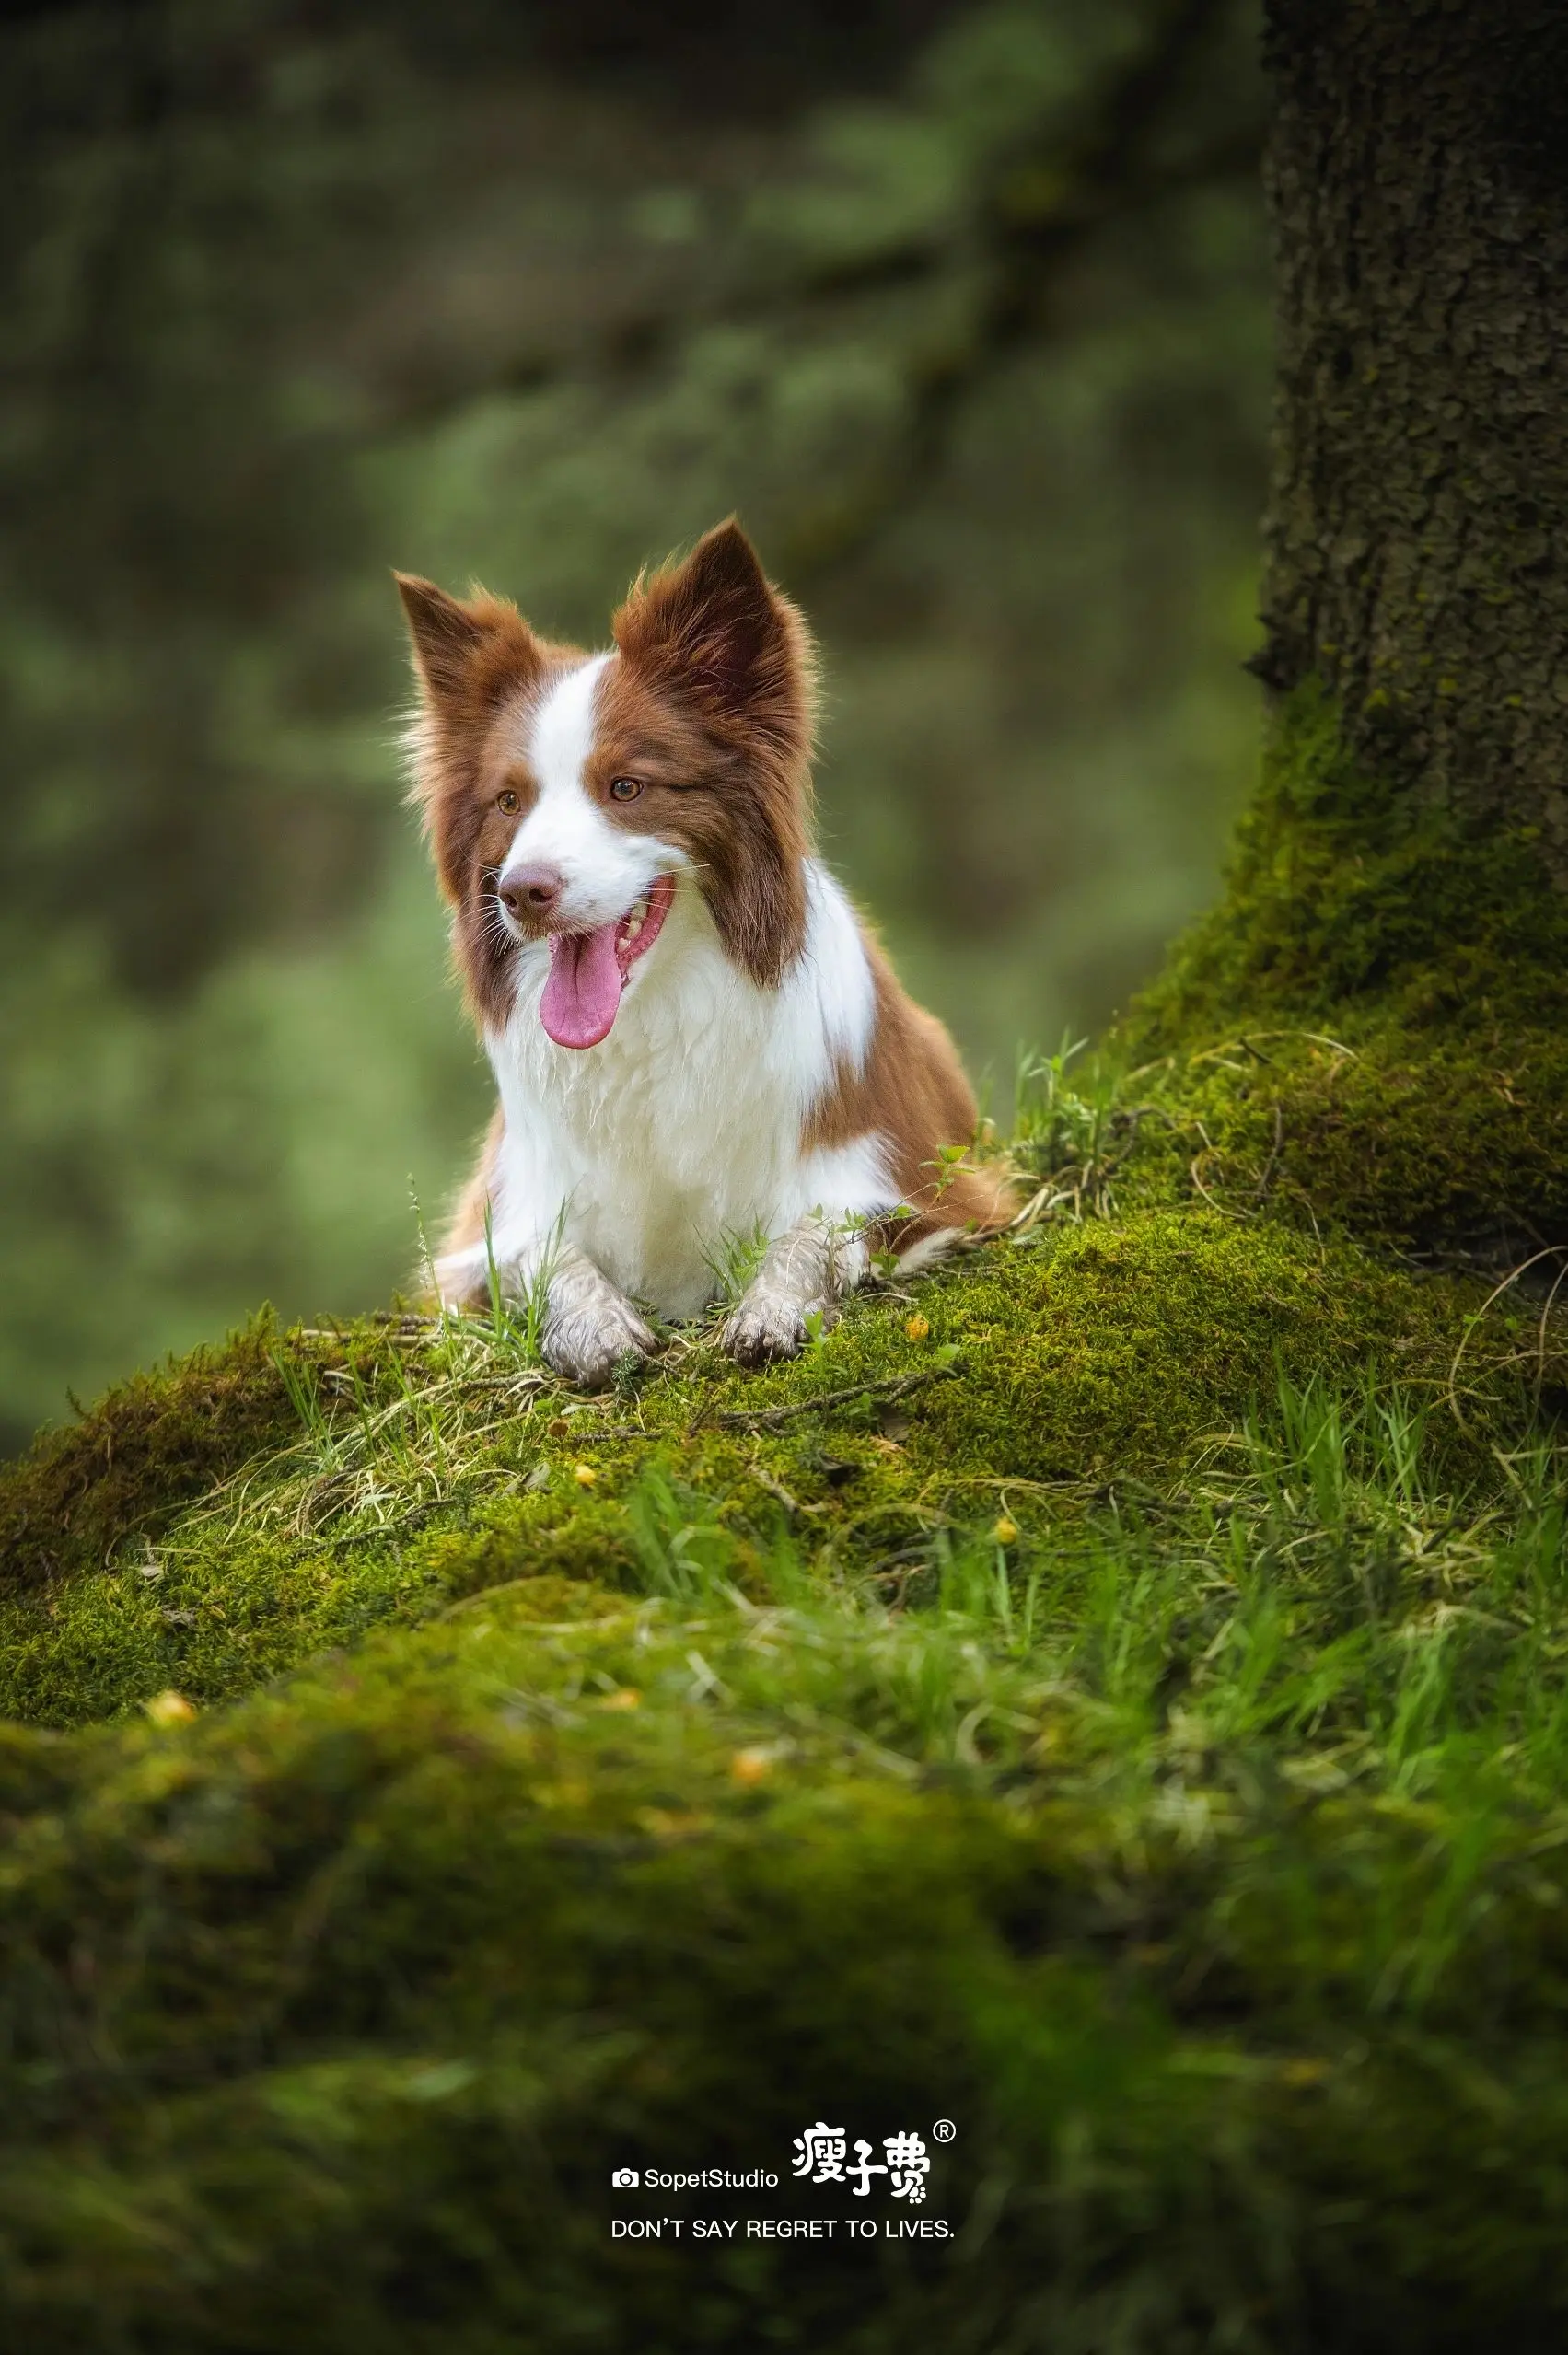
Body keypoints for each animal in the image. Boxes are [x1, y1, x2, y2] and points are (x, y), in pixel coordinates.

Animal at [398, 525, 1007, 1385]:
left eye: (625, 787)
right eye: (510, 801)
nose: (521, 892)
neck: (655, 1019)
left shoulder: (921, 1187)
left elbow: (816, 1234)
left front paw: (769, 1309)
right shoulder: (489, 1226)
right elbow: (540, 1258)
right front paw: (593, 1323)